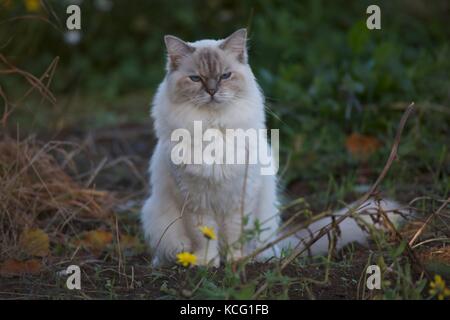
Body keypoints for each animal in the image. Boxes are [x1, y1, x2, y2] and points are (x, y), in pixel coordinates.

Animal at [140, 28, 404, 268]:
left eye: (225, 76)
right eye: (196, 79)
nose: (212, 90)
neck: (213, 127)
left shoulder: (240, 197)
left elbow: (235, 236)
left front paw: (235, 262)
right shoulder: (196, 201)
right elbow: (205, 236)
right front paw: (208, 264)